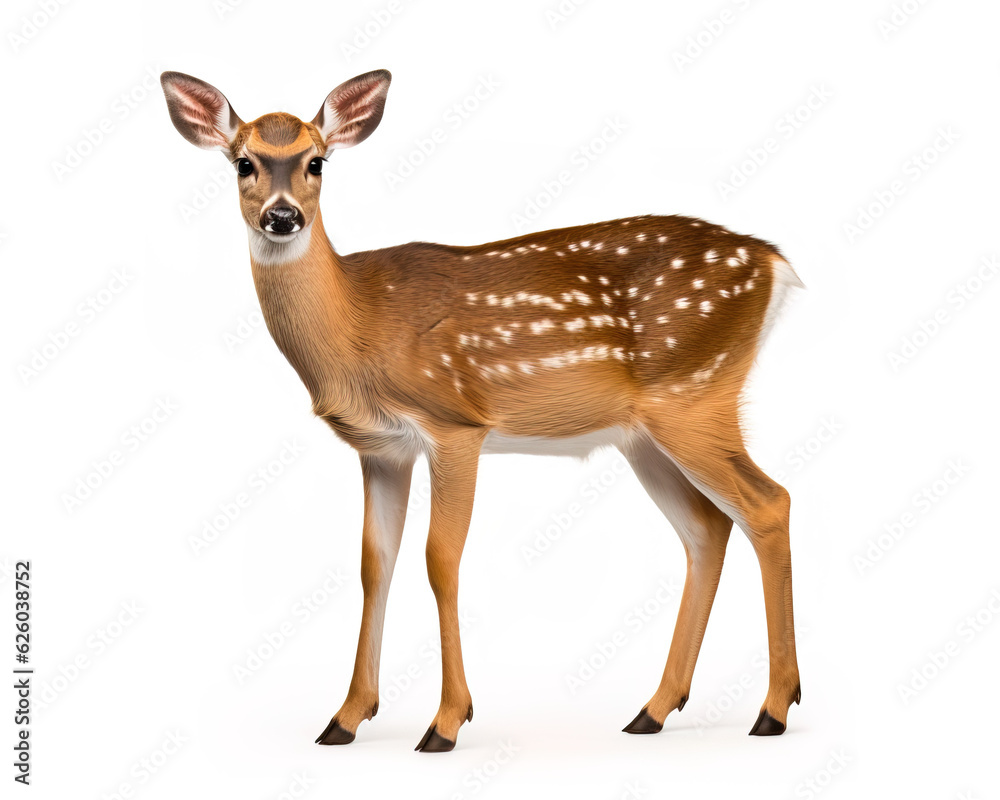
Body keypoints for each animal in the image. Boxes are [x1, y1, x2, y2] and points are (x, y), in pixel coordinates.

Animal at [160, 68, 803, 752]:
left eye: (317, 161)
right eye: (243, 163)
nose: (283, 216)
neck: (357, 326)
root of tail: (772, 261)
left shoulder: (455, 424)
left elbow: (440, 560)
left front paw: (445, 722)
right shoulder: (382, 449)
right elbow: (373, 564)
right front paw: (346, 717)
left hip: (696, 394)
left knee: (769, 503)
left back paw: (773, 709)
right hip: (644, 435)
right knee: (707, 530)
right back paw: (653, 709)